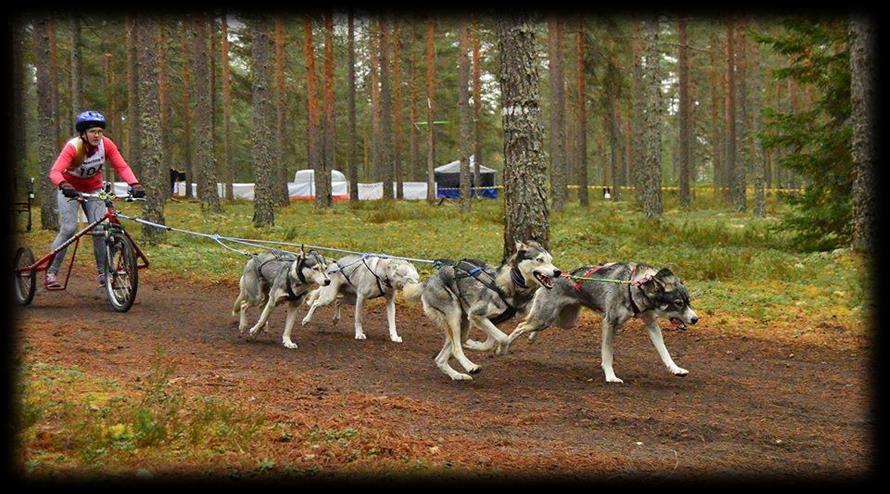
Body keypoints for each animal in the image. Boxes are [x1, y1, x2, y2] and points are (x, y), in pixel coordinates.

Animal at [400, 242, 560, 382]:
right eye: (539, 260)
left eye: (551, 261)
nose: (557, 272)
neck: (511, 285)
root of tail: (428, 281)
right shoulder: (477, 316)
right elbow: (504, 338)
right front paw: (500, 350)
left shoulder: (493, 321)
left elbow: (490, 342)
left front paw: (474, 345)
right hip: (454, 316)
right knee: (456, 348)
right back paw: (471, 367)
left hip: (463, 325)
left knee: (442, 357)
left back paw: (458, 375)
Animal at [500, 262, 692, 382]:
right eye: (678, 303)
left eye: (688, 301)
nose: (695, 318)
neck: (634, 285)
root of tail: (550, 278)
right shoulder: (610, 323)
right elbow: (607, 353)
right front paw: (611, 376)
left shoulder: (651, 324)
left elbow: (664, 351)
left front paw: (675, 369)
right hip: (544, 318)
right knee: (520, 326)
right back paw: (505, 345)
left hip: (563, 321)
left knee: (539, 325)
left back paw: (532, 337)